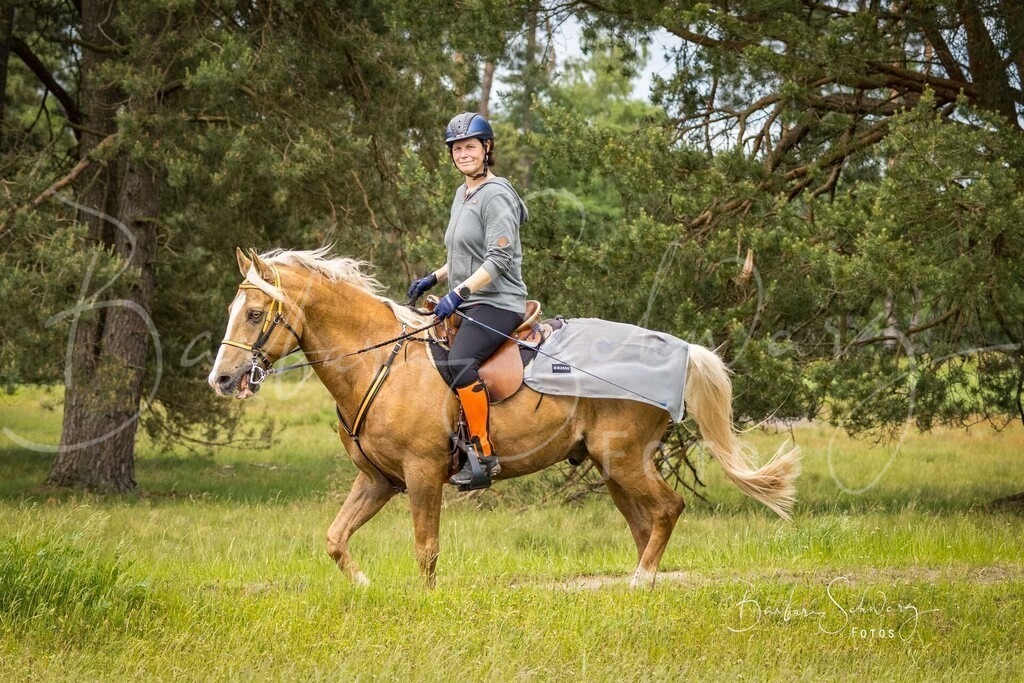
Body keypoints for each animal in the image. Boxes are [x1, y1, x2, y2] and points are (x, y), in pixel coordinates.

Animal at [207, 247, 800, 588]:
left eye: (255, 313)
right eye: (233, 310)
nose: (222, 379)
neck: (381, 361)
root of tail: (679, 351)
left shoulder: (423, 474)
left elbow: (426, 549)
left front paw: (424, 603)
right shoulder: (378, 480)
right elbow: (335, 538)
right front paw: (363, 586)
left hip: (624, 459)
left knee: (668, 508)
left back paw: (641, 579)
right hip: (613, 466)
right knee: (646, 520)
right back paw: (643, 583)